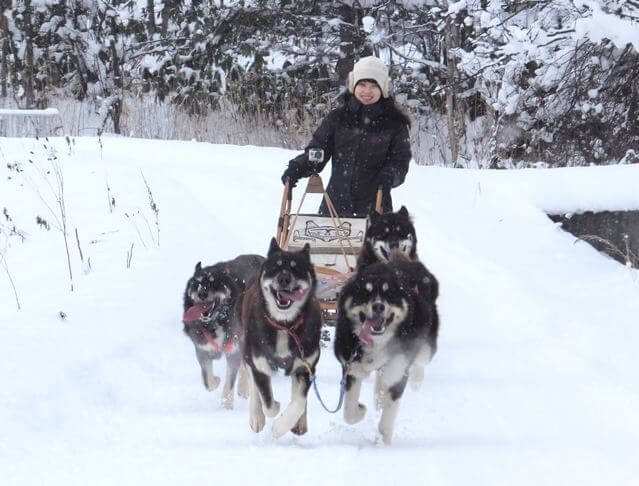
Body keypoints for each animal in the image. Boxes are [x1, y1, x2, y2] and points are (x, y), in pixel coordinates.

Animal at [182, 254, 264, 410]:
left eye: (214, 283)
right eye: (197, 283)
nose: (202, 293)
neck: (216, 321)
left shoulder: (233, 350)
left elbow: (229, 383)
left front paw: (226, 406)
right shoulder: (202, 350)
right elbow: (207, 381)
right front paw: (216, 381)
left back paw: (244, 388)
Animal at [238, 237, 322, 438]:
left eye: (296, 268)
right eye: (275, 267)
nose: (284, 278)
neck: (285, 325)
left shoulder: (305, 367)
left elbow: (299, 403)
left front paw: (280, 426)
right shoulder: (259, 364)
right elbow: (268, 402)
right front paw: (273, 409)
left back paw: (300, 423)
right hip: (249, 353)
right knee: (253, 385)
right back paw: (256, 416)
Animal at [336, 260, 440, 446]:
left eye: (389, 294)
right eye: (365, 293)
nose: (378, 306)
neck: (377, 342)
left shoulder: (398, 369)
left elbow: (389, 413)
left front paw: (383, 443)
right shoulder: (351, 367)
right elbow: (349, 412)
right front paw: (361, 410)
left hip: (426, 342)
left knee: (420, 361)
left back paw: (416, 381)